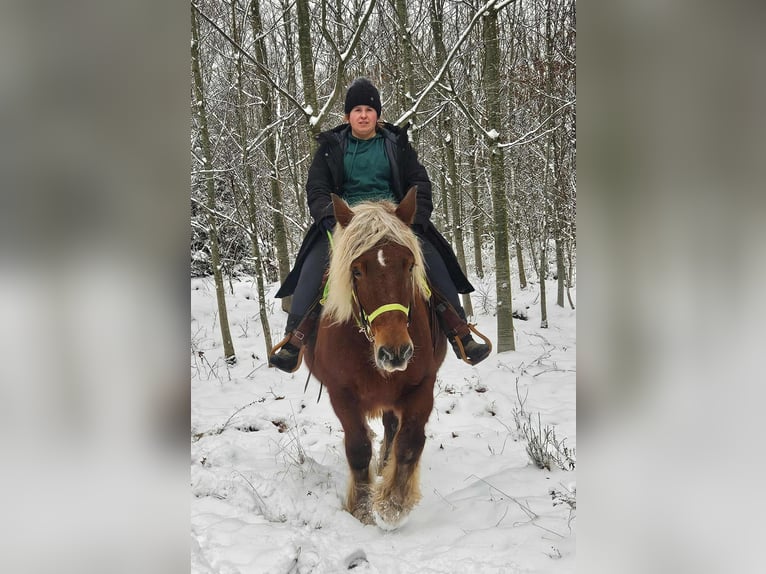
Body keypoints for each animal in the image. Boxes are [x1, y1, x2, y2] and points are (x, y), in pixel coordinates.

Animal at [303, 187, 447, 530]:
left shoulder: (422, 385)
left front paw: (393, 503)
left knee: (393, 427)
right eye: (356, 270)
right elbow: (357, 448)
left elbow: (410, 442)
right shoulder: (341, 393)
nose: (395, 352)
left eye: (409, 265)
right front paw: (361, 509)